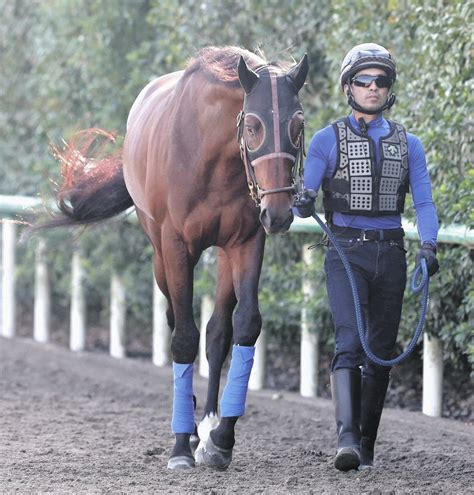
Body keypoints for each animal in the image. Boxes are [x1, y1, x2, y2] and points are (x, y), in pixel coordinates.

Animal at [44, 46, 308, 472]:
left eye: (298, 124)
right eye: (253, 125)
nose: (281, 212)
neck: (212, 156)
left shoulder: (247, 241)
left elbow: (244, 325)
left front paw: (220, 437)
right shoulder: (175, 246)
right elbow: (182, 336)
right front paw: (181, 445)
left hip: (224, 253)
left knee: (217, 332)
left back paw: (208, 426)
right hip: (158, 253)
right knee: (173, 319)